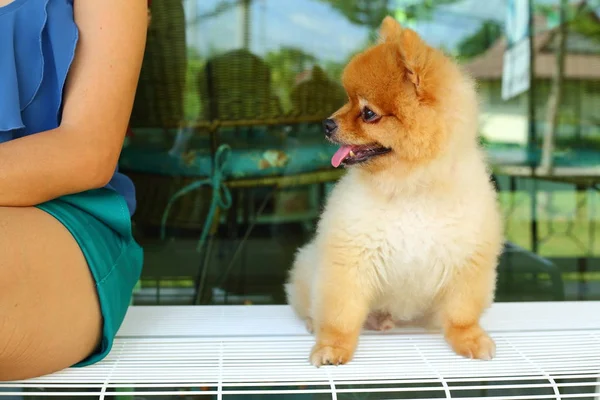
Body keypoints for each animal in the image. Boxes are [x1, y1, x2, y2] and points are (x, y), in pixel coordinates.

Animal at [284, 15, 504, 368]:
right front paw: (332, 346)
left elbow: (462, 312)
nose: (327, 124)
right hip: (308, 263)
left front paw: (468, 337)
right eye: (347, 99)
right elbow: (340, 314)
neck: (411, 186)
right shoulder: (349, 257)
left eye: (368, 113)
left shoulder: (467, 259)